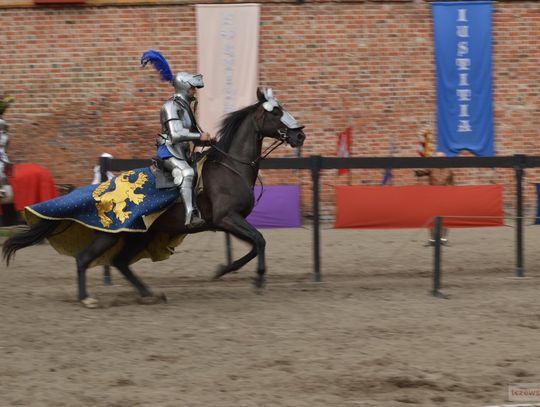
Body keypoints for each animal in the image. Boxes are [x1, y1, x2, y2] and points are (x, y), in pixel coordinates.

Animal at [3, 88, 306, 307]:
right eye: (276, 111)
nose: (300, 135)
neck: (230, 167)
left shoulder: (228, 222)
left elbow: (254, 245)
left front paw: (223, 269)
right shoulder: (226, 218)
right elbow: (259, 240)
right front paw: (257, 279)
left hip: (138, 236)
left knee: (120, 263)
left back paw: (149, 294)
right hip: (112, 235)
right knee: (84, 259)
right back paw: (86, 298)